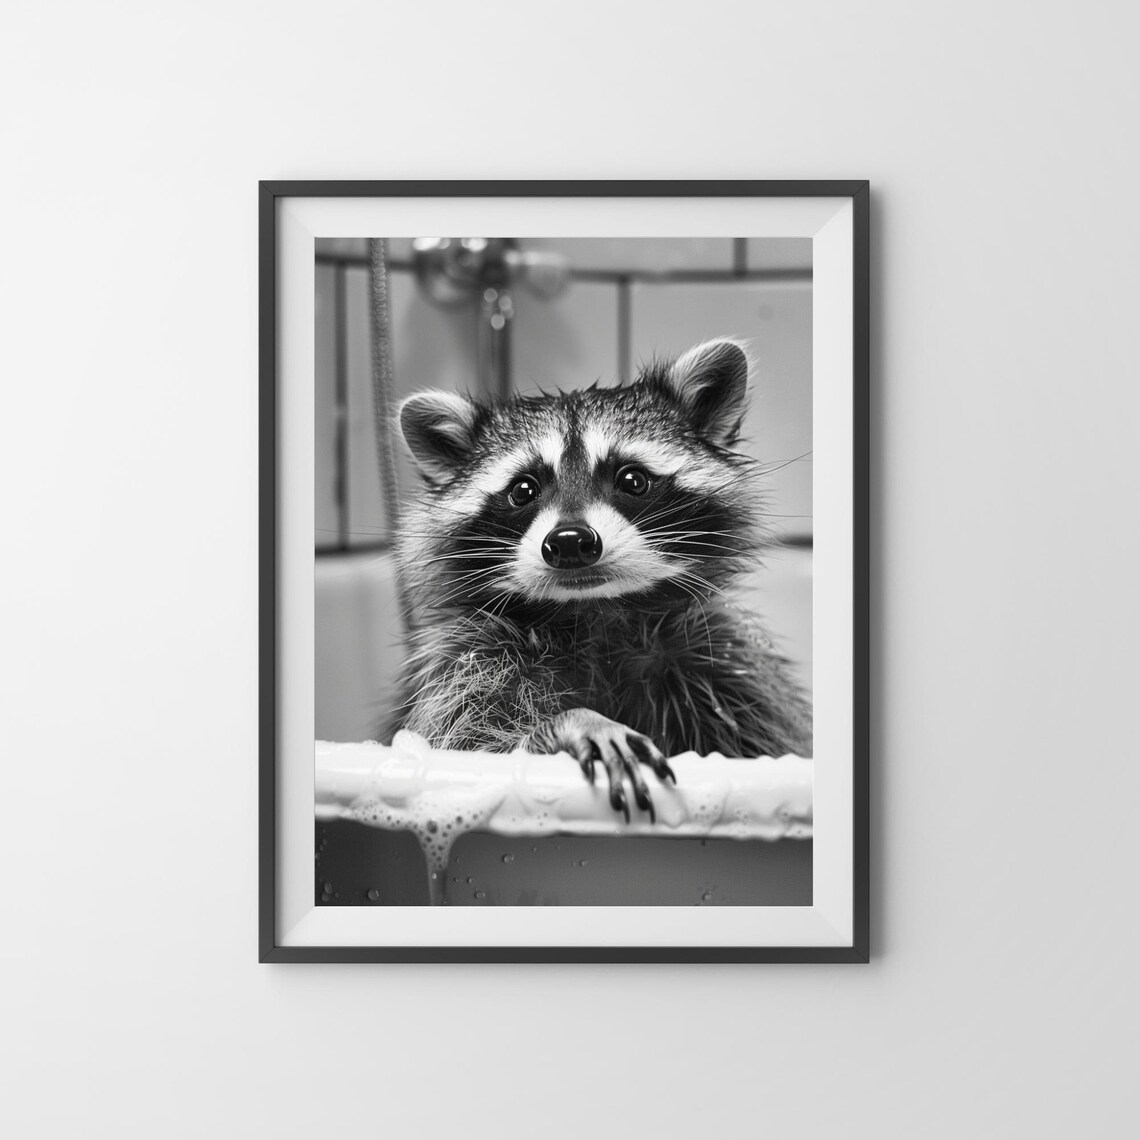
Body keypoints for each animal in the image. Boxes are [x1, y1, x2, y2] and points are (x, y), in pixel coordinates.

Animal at [390, 337, 812, 820]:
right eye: (523, 490)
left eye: (632, 479)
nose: (571, 542)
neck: (595, 612)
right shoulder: (467, 664)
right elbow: (467, 745)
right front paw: (570, 724)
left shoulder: (725, 662)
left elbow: (766, 744)